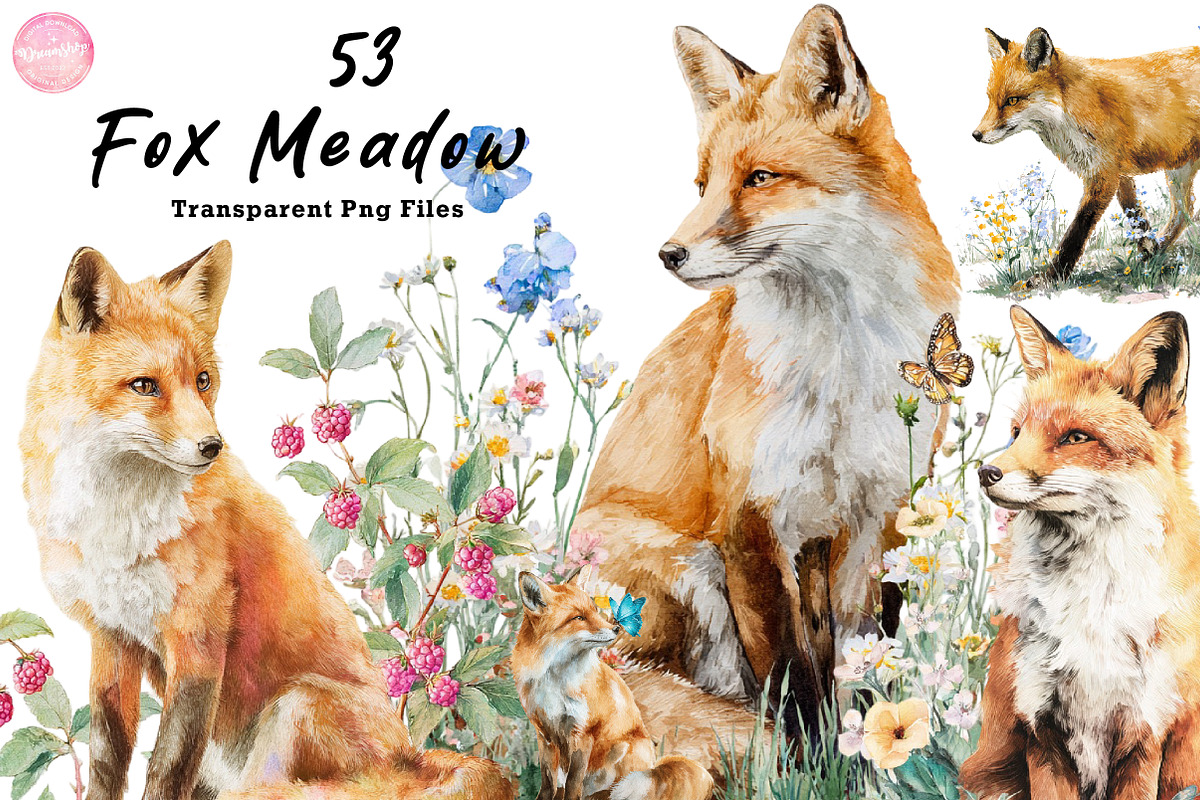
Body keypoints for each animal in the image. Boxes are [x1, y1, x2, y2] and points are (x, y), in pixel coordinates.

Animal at [18, 241, 513, 800]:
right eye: (144, 386)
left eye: (203, 381)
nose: (212, 446)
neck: (118, 529)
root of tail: (410, 756)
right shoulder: (111, 637)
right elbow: (107, 757)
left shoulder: (198, 637)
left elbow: (168, 763)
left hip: (293, 708)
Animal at [511, 569, 713, 800]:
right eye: (578, 618)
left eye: (595, 610)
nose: (617, 628)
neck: (555, 680)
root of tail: (654, 767)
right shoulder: (544, 734)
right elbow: (547, 781)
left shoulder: (582, 734)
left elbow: (573, 783)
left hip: (623, 750)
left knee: (612, 789)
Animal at [574, 3, 959, 762]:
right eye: (702, 184)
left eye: (758, 178)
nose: (668, 254)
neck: (839, 364)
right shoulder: (749, 521)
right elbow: (790, 680)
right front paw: (809, 765)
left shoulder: (874, 518)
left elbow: (854, 668)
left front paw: (868, 758)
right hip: (686, 567)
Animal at [960, 305, 1200, 800]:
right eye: (1018, 432)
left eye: (1075, 438)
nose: (985, 472)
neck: (1090, 608)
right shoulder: (1042, 736)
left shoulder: (1145, 737)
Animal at [973, 28, 1200, 280]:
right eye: (990, 99)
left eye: (1012, 100)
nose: (976, 134)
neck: (1071, 110)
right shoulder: (1119, 174)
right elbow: (1136, 218)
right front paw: (1148, 256)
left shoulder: (1104, 175)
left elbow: (1077, 231)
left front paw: (1050, 278)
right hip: (1179, 168)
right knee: (1185, 210)